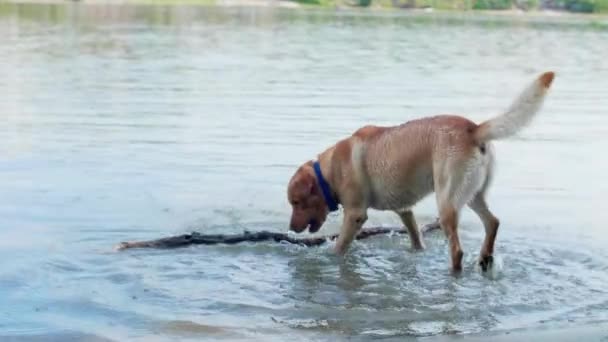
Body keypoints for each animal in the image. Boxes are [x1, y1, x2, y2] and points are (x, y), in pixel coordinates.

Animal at [288, 71, 552, 272]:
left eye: (296, 202)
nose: (290, 229)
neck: (330, 171)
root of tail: (473, 128)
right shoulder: (405, 210)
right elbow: (415, 237)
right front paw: (417, 253)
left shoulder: (355, 215)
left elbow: (339, 247)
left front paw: (331, 259)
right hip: (472, 195)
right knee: (493, 222)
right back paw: (485, 259)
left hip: (447, 203)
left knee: (458, 250)